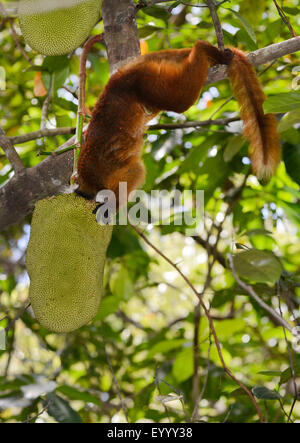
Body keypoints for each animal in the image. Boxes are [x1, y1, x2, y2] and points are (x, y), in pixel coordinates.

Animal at [75, 40, 282, 207]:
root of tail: (118, 79)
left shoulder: (106, 171)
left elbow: (135, 170)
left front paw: (110, 208)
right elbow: (135, 170)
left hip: (144, 80)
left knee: (180, 100)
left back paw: (203, 48)